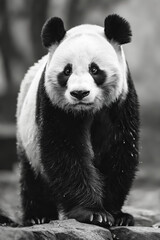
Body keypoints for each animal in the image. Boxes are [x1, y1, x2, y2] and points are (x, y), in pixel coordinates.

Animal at [15, 14, 139, 226]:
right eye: (67, 71)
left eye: (94, 69)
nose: (79, 93)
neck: (87, 110)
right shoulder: (54, 105)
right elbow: (66, 152)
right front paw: (93, 212)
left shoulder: (121, 103)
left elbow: (120, 150)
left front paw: (116, 214)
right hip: (26, 133)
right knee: (33, 177)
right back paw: (38, 216)